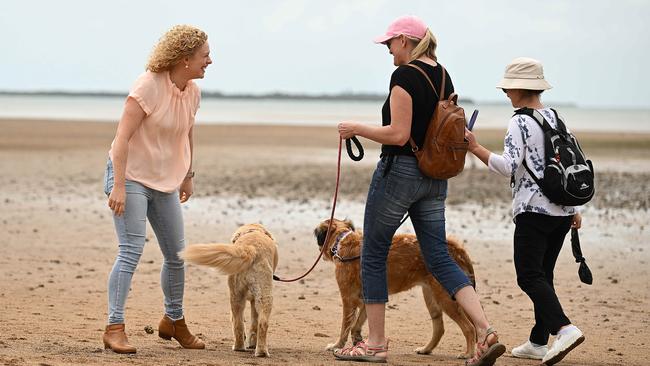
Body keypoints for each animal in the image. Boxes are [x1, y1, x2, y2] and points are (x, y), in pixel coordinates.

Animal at [181, 223, 278, 358]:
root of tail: (251, 248)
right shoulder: (253, 300)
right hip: (254, 295)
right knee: (253, 323)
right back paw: (256, 350)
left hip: (242, 295)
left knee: (244, 323)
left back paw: (245, 348)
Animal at [316, 217, 476, 358]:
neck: (342, 240)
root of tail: (455, 247)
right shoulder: (369, 298)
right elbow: (356, 324)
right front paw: (358, 340)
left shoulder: (348, 299)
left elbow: (345, 326)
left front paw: (337, 345)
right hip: (431, 297)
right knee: (439, 328)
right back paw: (426, 349)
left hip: (446, 298)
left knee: (470, 328)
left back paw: (468, 353)